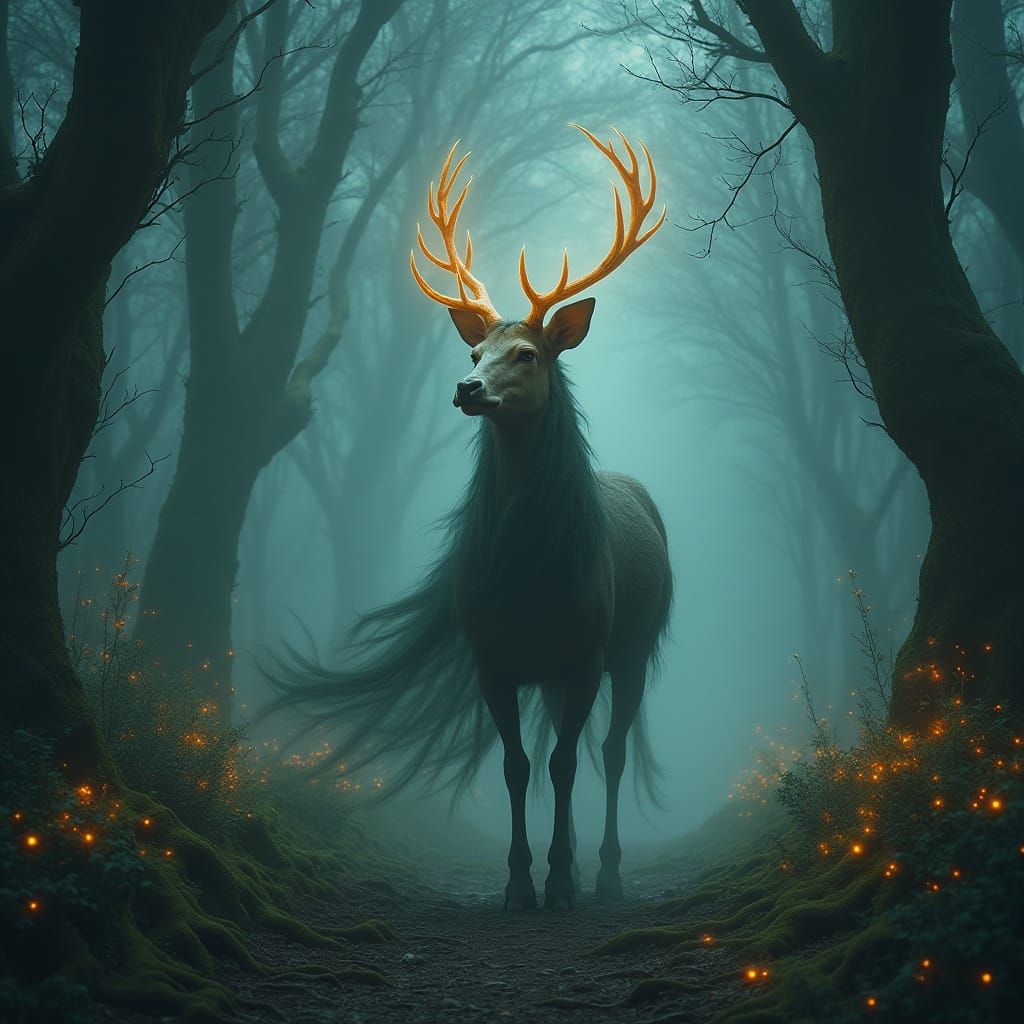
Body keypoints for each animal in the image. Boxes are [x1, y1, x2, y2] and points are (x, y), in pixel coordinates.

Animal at [266, 126, 672, 911]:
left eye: (528, 353)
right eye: (473, 349)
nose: (466, 387)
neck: (530, 580)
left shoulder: (586, 651)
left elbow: (566, 764)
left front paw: (562, 886)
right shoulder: (493, 655)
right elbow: (520, 766)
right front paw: (519, 884)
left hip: (634, 646)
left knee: (608, 752)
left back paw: (604, 875)